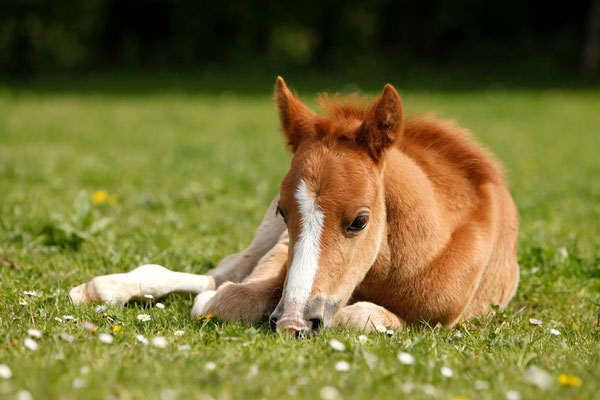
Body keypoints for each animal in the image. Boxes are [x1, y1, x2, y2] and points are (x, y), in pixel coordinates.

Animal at [71, 77, 520, 334]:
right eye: (284, 212)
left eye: (359, 220)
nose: (292, 323)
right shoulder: (281, 254)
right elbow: (231, 296)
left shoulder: (438, 320)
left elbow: (357, 317)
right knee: (220, 273)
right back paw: (101, 288)